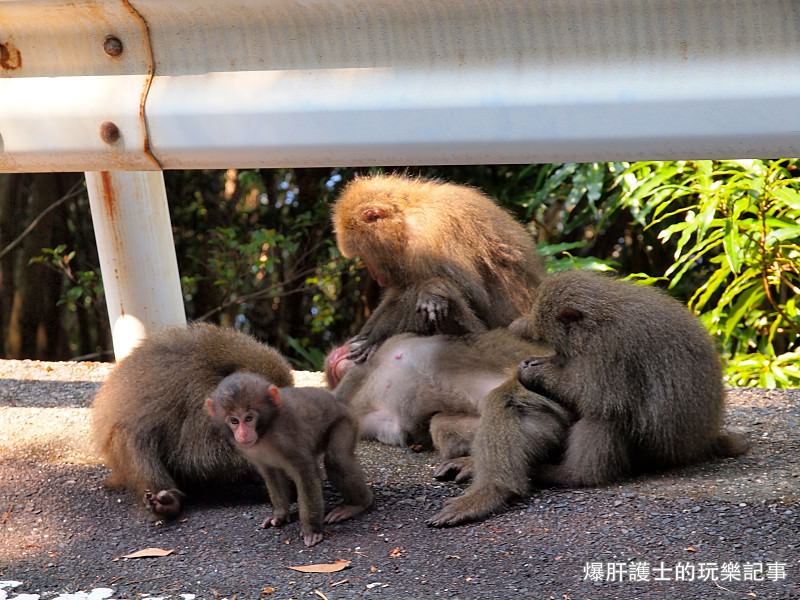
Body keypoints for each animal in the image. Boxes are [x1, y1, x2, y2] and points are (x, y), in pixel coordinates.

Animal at [203, 372, 372, 548]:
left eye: (249, 418)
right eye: (234, 421)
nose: (242, 435)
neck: (265, 431)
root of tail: (335, 399)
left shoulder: (287, 436)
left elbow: (306, 474)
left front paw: (311, 530)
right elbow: (272, 475)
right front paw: (280, 514)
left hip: (346, 421)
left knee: (337, 459)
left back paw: (358, 504)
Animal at [332, 173, 544, 360]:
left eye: (363, 255)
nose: (374, 275)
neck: (406, 217)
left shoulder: (429, 235)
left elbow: (469, 292)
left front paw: (377, 336)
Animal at [432, 270, 752, 528]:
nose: (521, 326)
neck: (600, 318)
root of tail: (706, 442)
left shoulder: (613, 346)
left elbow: (595, 395)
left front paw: (536, 372)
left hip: (664, 452)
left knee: (608, 413)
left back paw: (574, 476)